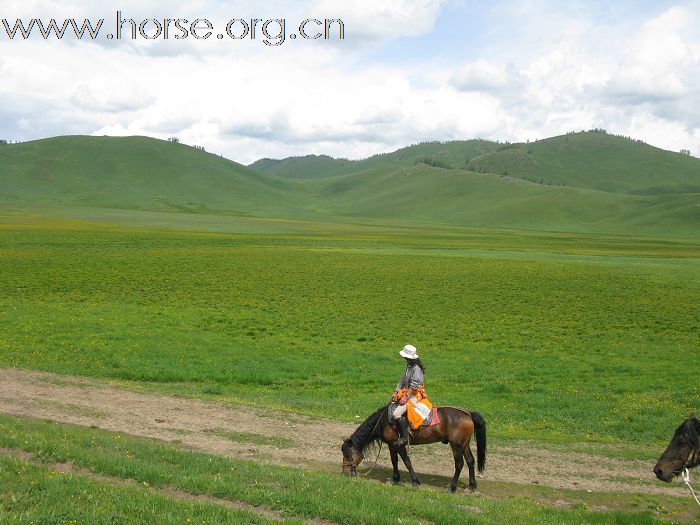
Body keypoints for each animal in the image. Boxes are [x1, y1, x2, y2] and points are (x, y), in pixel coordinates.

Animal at [340, 406, 484, 492]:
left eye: (348, 454)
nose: (345, 472)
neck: (384, 421)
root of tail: (468, 414)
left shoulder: (399, 445)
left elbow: (406, 462)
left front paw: (415, 481)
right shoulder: (392, 445)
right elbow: (394, 461)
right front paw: (395, 479)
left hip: (456, 445)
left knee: (459, 464)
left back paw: (452, 487)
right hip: (464, 445)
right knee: (471, 461)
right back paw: (471, 486)